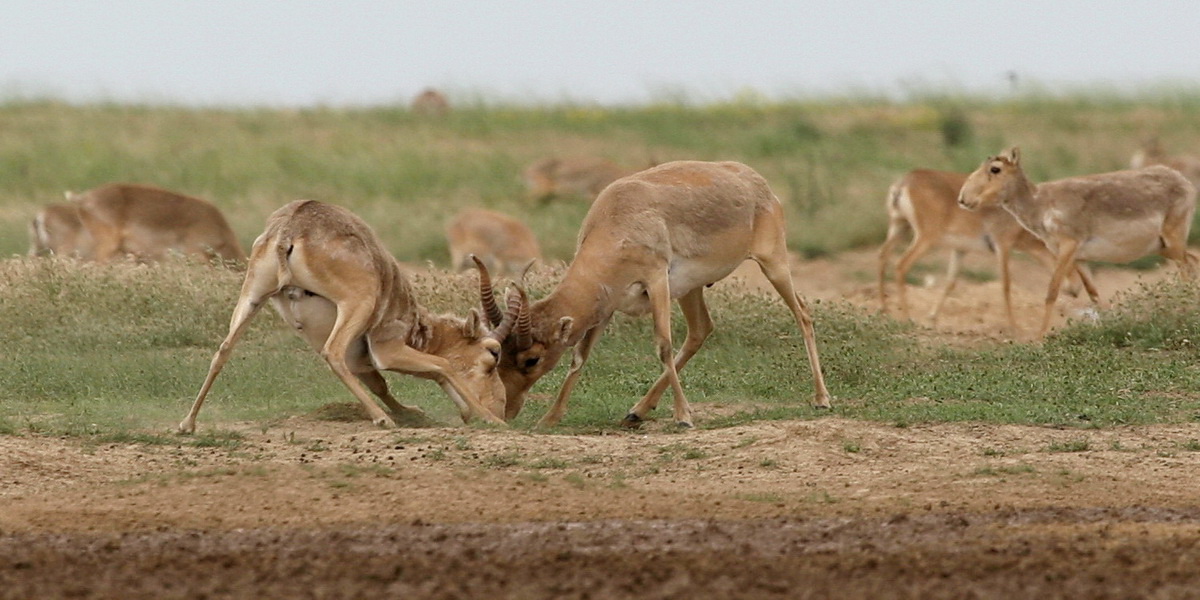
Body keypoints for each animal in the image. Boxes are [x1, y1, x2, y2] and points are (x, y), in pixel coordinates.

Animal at [177, 200, 511, 432]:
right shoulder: (387, 348)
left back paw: (187, 424)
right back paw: (381, 420)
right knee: (332, 352)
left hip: (253, 297)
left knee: (223, 351)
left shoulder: (361, 362)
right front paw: (490, 420)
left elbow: (383, 384)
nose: (503, 407)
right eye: (493, 353)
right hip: (356, 304)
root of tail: (290, 228)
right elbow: (443, 365)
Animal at [472, 159, 830, 427]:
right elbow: (580, 357)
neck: (620, 215)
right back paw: (636, 412)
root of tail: (754, 180)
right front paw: (548, 418)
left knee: (803, 314)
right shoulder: (608, 305)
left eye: (531, 358)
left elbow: (663, 345)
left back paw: (821, 399)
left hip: (774, 264)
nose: (507, 410)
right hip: (691, 289)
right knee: (701, 330)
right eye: (499, 354)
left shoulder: (657, 283)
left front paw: (684, 417)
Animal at [878, 169, 1094, 331]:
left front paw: (931, 319)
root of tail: (903, 183)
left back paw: (884, 310)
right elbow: (1006, 285)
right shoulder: (1002, 246)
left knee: (883, 255)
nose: (1076, 289)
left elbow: (950, 283)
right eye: (1072, 262)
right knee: (901, 265)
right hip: (925, 238)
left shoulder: (960, 250)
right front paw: (1014, 327)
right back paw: (906, 317)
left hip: (899, 227)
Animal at [955, 147, 1200, 338]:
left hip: (1173, 240)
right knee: (1193, 261)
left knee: (1187, 271)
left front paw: (1040, 336)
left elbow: (1052, 291)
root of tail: (1182, 180)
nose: (963, 199)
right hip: (1164, 247)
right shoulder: (1079, 257)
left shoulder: (1067, 247)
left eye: (995, 169)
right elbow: (1094, 294)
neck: (1040, 203)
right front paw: (1110, 327)